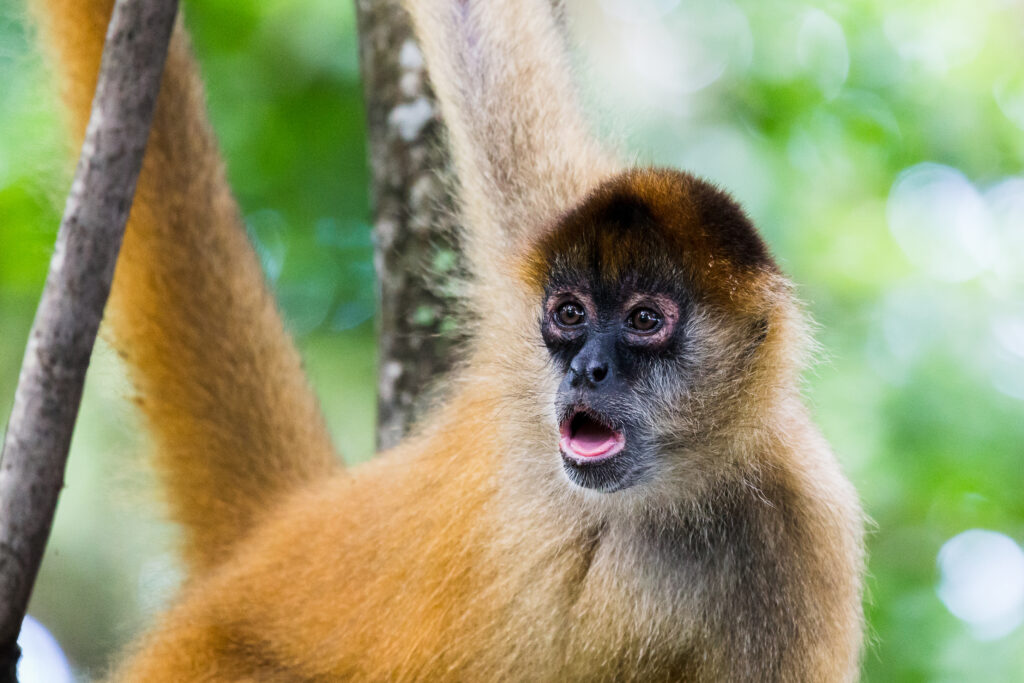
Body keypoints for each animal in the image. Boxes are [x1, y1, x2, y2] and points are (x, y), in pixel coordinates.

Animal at [29, 0, 864, 679]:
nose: (587, 368)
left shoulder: (799, 536)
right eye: (569, 313)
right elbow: (477, 30)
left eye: (644, 320)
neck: (633, 507)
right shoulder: (533, 262)